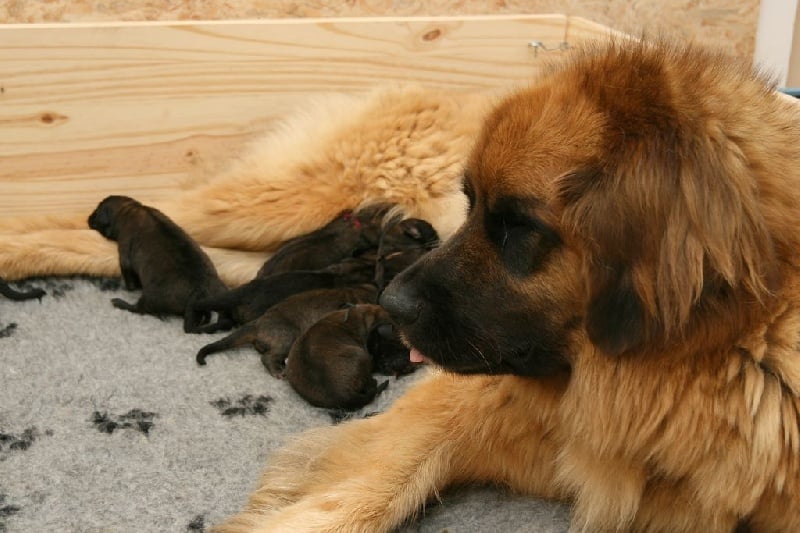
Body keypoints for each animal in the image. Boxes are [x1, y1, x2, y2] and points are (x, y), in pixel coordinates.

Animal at [88, 193, 231, 330]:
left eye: (96, 212)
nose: (88, 218)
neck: (129, 209)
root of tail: (199, 292)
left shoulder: (124, 253)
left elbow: (129, 279)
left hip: (149, 296)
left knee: (139, 309)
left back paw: (119, 302)